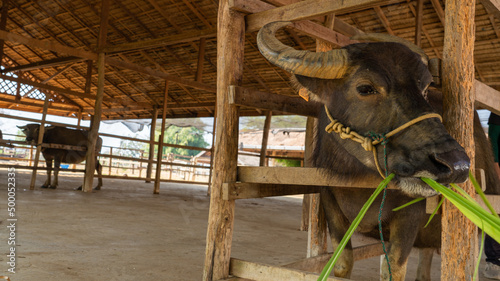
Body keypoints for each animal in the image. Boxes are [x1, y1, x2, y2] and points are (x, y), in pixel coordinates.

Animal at [256, 20, 498, 278]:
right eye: (365, 88)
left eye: (424, 90)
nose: (457, 165)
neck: (361, 183)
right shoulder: (330, 202)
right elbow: (343, 263)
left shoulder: (410, 214)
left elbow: (393, 269)